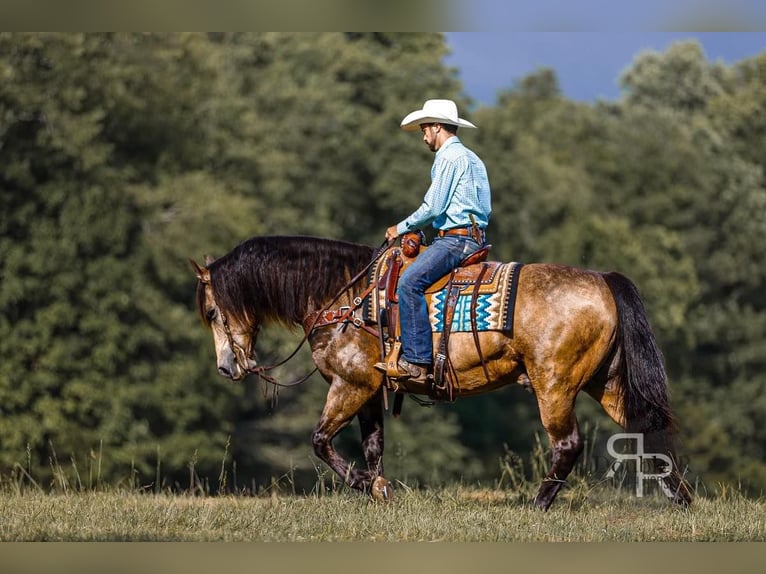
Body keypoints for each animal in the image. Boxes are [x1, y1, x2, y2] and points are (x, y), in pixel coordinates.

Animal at [194, 236, 696, 510]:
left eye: (213, 311)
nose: (225, 366)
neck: (346, 297)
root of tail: (603, 280)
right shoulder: (370, 389)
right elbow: (373, 446)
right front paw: (380, 490)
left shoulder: (350, 384)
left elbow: (319, 441)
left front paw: (366, 485)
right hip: (604, 382)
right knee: (647, 429)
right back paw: (681, 499)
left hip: (554, 385)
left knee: (568, 444)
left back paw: (537, 506)